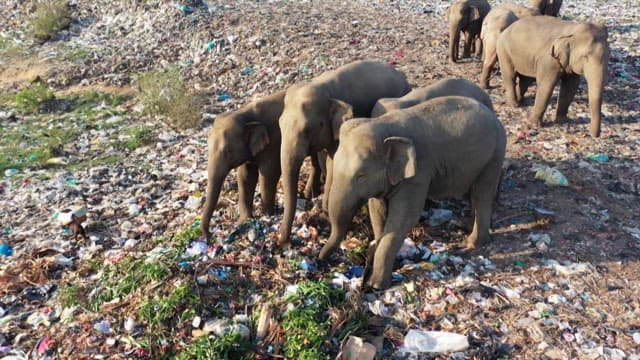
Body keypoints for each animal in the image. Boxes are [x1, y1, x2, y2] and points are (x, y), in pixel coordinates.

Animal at [200, 90, 324, 242]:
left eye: (227, 151)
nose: (209, 236)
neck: (245, 114)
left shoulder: (273, 142)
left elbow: (269, 173)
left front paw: (267, 215)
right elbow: (245, 176)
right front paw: (244, 221)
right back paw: (311, 193)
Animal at [278, 59, 410, 245]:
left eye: (307, 130)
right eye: (280, 124)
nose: (283, 241)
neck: (323, 87)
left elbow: (333, 162)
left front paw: (325, 209)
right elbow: (317, 155)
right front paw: (310, 193)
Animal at [318, 96, 504, 290]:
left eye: (361, 176)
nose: (320, 261)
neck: (384, 126)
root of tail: (494, 116)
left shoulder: (418, 175)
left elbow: (404, 218)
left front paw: (377, 284)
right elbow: (377, 212)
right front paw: (375, 259)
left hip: (494, 155)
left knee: (481, 194)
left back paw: (471, 243)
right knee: (474, 194)